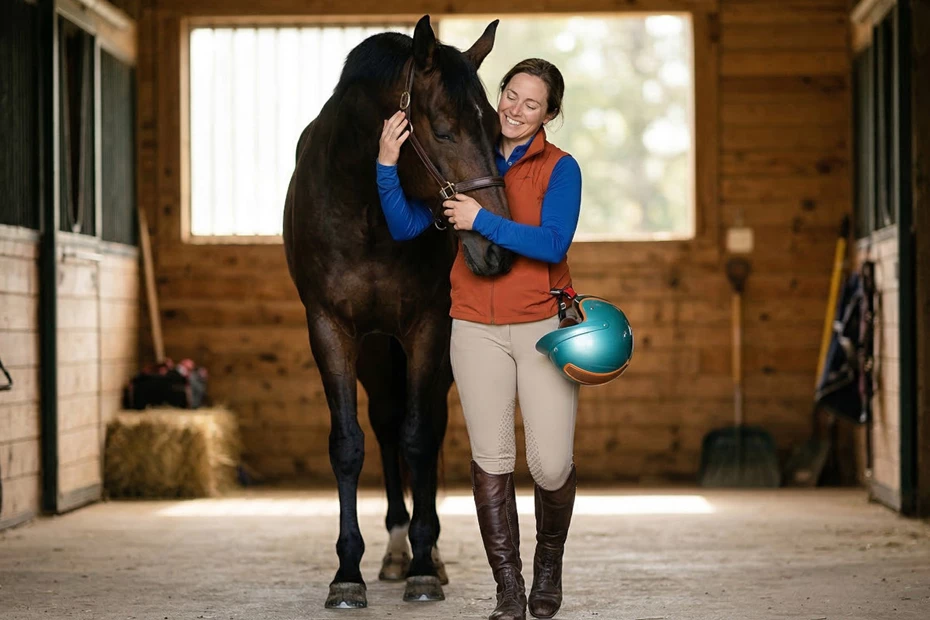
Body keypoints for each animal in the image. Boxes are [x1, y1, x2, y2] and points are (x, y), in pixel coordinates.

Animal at [283, 15, 514, 609]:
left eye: (495, 130)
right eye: (444, 129)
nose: (496, 250)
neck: (367, 208)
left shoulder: (428, 328)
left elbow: (420, 436)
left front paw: (425, 568)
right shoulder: (331, 329)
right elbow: (349, 444)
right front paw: (348, 572)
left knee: (422, 424)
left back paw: (422, 552)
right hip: (374, 349)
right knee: (386, 422)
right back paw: (392, 551)